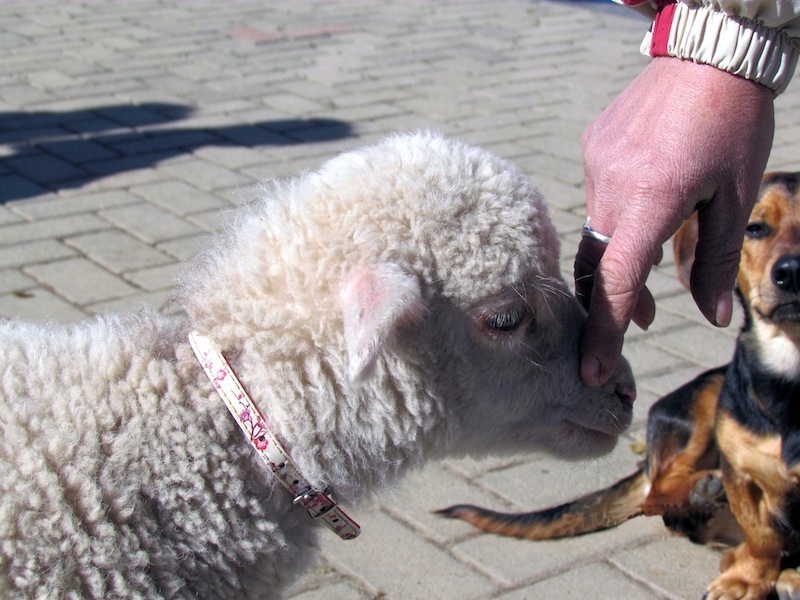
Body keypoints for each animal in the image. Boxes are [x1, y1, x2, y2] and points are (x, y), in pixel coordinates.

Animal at [440, 171, 800, 596]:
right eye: (756, 228)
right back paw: (705, 499)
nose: (792, 271)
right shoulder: (740, 471)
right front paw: (746, 577)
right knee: (659, 493)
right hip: (705, 396)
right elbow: (761, 534)